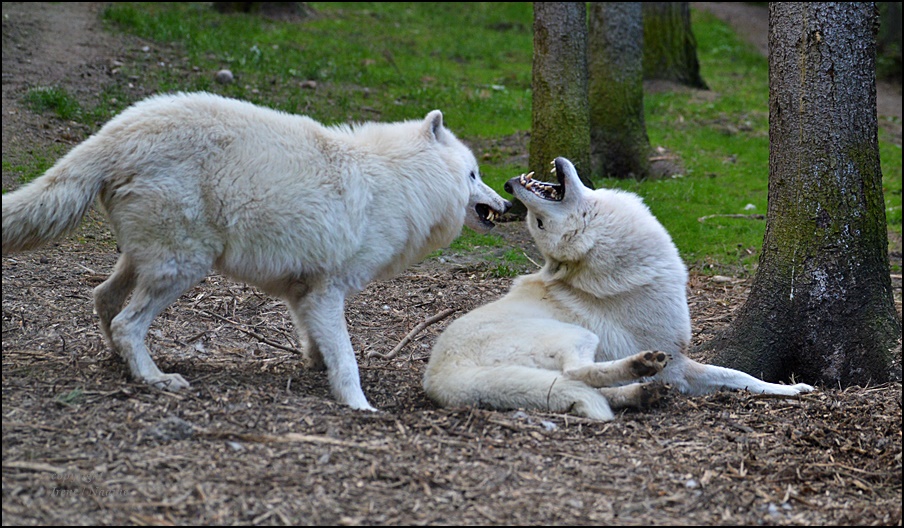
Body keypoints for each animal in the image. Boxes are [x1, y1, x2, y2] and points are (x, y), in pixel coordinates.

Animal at [0, 92, 512, 412]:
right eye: (473, 174)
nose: (505, 204)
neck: (402, 181)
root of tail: (113, 133)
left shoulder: (305, 293)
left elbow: (317, 343)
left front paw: (317, 367)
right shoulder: (329, 290)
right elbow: (347, 359)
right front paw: (359, 406)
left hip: (147, 261)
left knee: (103, 299)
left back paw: (120, 365)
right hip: (182, 268)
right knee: (128, 322)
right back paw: (154, 378)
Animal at [428, 157, 816, 420]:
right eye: (537, 223)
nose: (509, 187)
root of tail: (441, 378)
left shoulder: (681, 367)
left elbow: (739, 375)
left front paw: (791, 389)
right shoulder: (677, 363)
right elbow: (735, 374)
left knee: (580, 386)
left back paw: (641, 393)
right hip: (576, 335)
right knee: (576, 374)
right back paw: (640, 367)